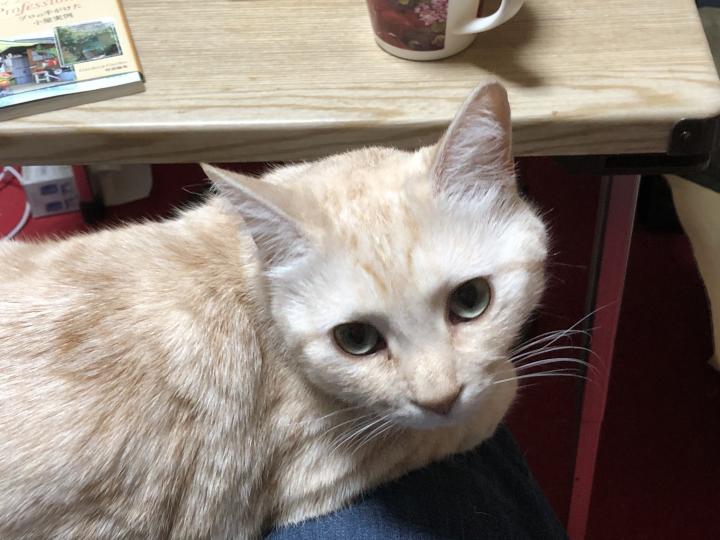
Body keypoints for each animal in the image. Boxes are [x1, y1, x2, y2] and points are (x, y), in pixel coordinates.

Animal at [0, 81, 548, 539]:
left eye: (471, 300)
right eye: (355, 340)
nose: (441, 399)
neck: (253, 271)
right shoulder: (306, 473)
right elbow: (487, 403)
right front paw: (503, 383)